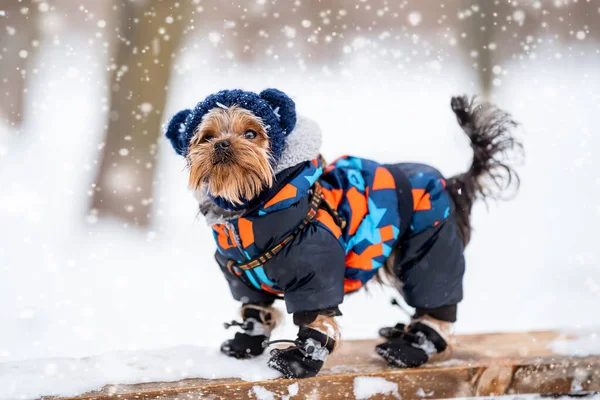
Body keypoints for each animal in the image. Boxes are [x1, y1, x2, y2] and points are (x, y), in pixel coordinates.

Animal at [164, 89, 520, 380]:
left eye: (251, 133)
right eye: (206, 137)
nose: (222, 143)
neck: (248, 209)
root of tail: (451, 182)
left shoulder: (315, 272)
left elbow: (316, 320)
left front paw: (298, 361)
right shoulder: (240, 279)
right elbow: (253, 310)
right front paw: (245, 343)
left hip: (430, 245)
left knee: (437, 302)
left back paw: (409, 348)